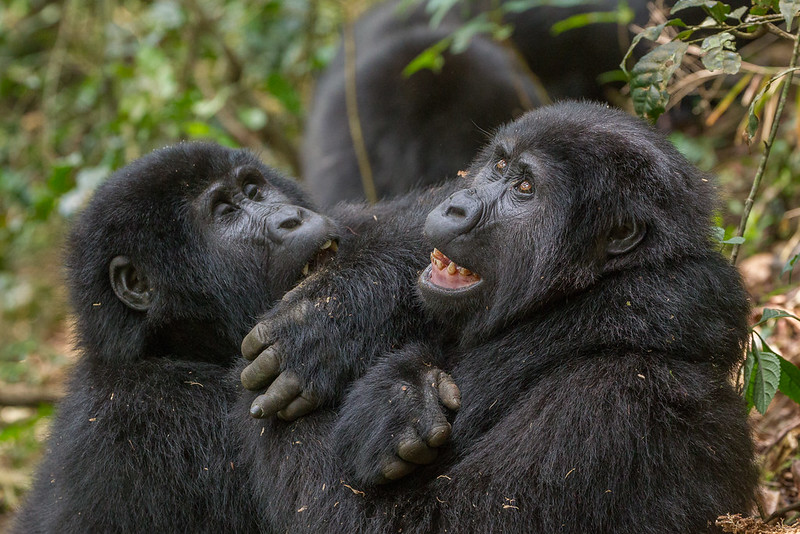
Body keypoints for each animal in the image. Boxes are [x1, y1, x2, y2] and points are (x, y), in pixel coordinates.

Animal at [241, 101, 760, 534]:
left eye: (525, 188)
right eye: (499, 166)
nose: (456, 206)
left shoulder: (620, 398)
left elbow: (436, 520)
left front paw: (386, 392)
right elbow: (369, 220)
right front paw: (336, 321)